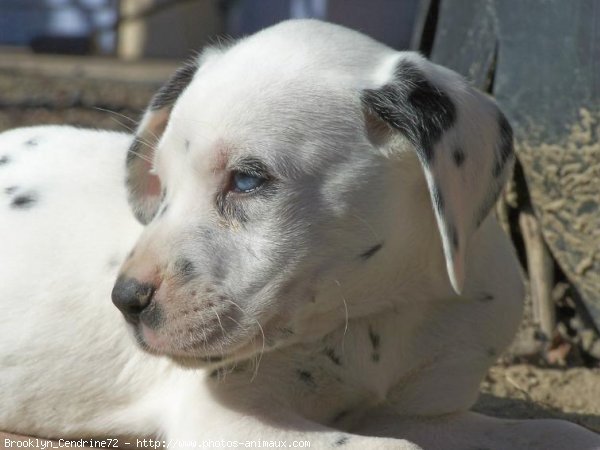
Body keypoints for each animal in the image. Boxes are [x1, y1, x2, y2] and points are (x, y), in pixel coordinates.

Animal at [1, 20, 600, 450]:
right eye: (162, 186)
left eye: (247, 180)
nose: (125, 301)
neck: (380, 310)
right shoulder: (227, 417)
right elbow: (394, 449)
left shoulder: (420, 413)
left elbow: (557, 431)